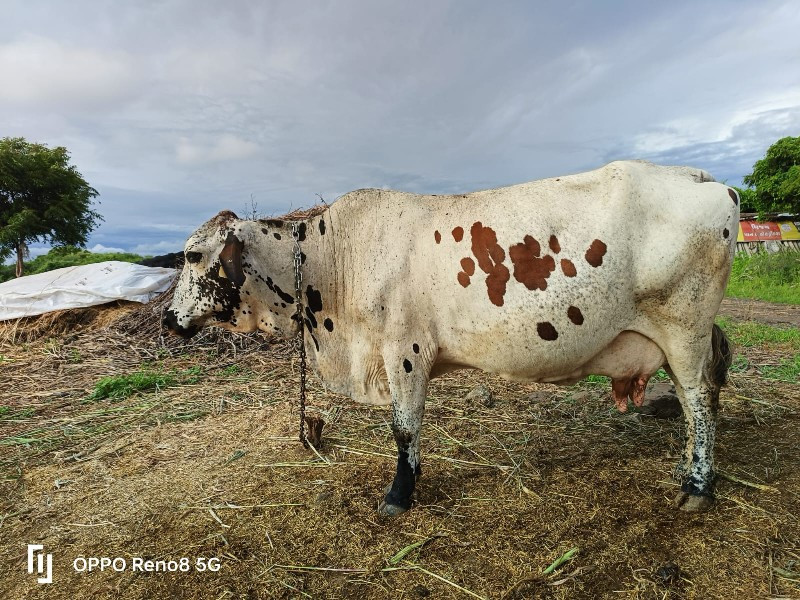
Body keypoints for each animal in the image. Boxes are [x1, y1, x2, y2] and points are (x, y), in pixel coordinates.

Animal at [162, 159, 736, 516]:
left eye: (192, 255)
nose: (167, 318)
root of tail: (694, 176)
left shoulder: (405, 352)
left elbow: (404, 429)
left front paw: (399, 494)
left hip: (683, 330)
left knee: (701, 401)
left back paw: (697, 486)